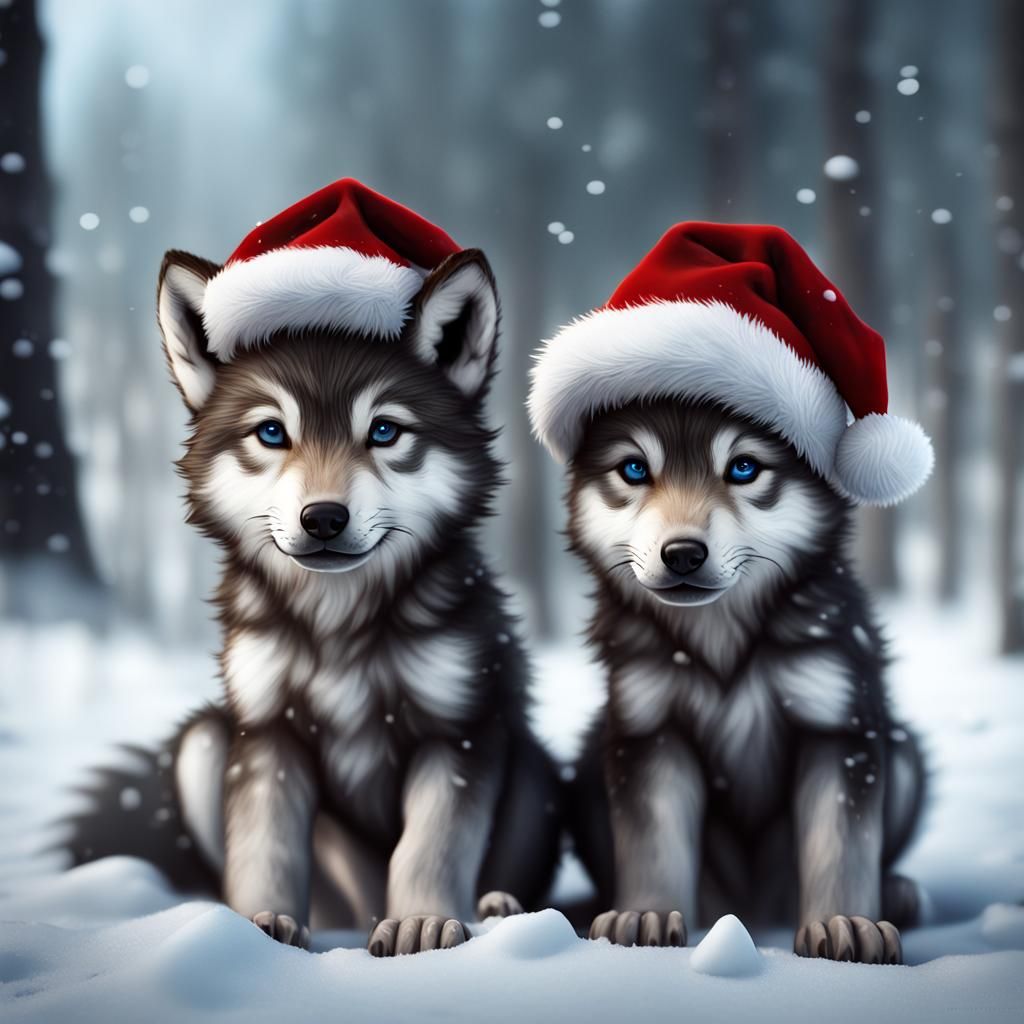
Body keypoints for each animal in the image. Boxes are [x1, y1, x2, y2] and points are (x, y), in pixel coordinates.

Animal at [66, 245, 561, 954]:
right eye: (272, 433)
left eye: (384, 431)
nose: (323, 518)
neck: (338, 622)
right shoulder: (268, 732)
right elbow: (264, 843)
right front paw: (259, 923)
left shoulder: (459, 733)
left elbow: (430, 845)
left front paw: (422, 922)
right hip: (203, 745)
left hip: (533, 761)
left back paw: (496, 907)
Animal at [561, 397, 925, 964]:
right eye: (635, 469)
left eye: (744, 468)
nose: (683, 554)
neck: (720, 642)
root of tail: (753, 910)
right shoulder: (650, 731)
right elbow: (652, 842)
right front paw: (644, 914)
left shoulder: (839, 724)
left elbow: (842, 844)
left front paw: (844, 921)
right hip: (588, 768)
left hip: (902, 750)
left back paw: (899, 892)